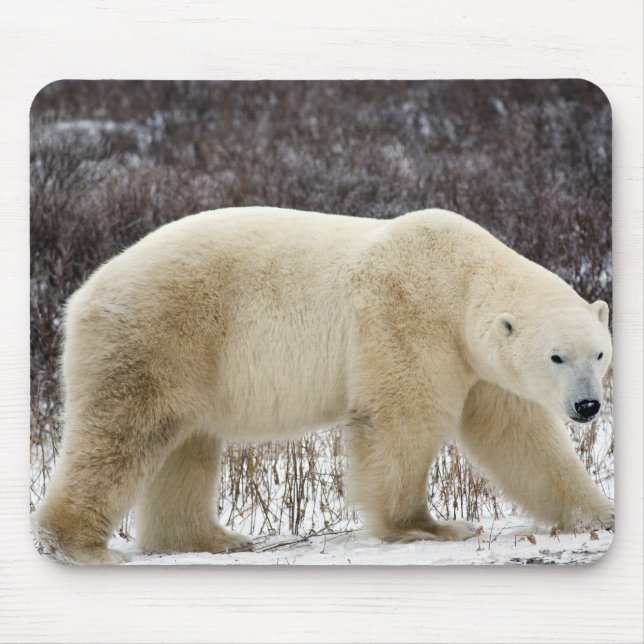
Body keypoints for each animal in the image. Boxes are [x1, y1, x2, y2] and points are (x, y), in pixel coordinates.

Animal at [34, 207, 615, 564]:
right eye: (556, 356)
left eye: (599, 352)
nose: (587, 406)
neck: (457, 275)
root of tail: (82, 294)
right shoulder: (405, 314)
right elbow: (404, 418)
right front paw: (429, 526)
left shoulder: (479, 362)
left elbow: (521, 436)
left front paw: (601, 513)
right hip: (160, 333)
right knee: (123, 433)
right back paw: (80, 545)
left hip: (191, 359)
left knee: (186, 445)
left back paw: (213, 539)